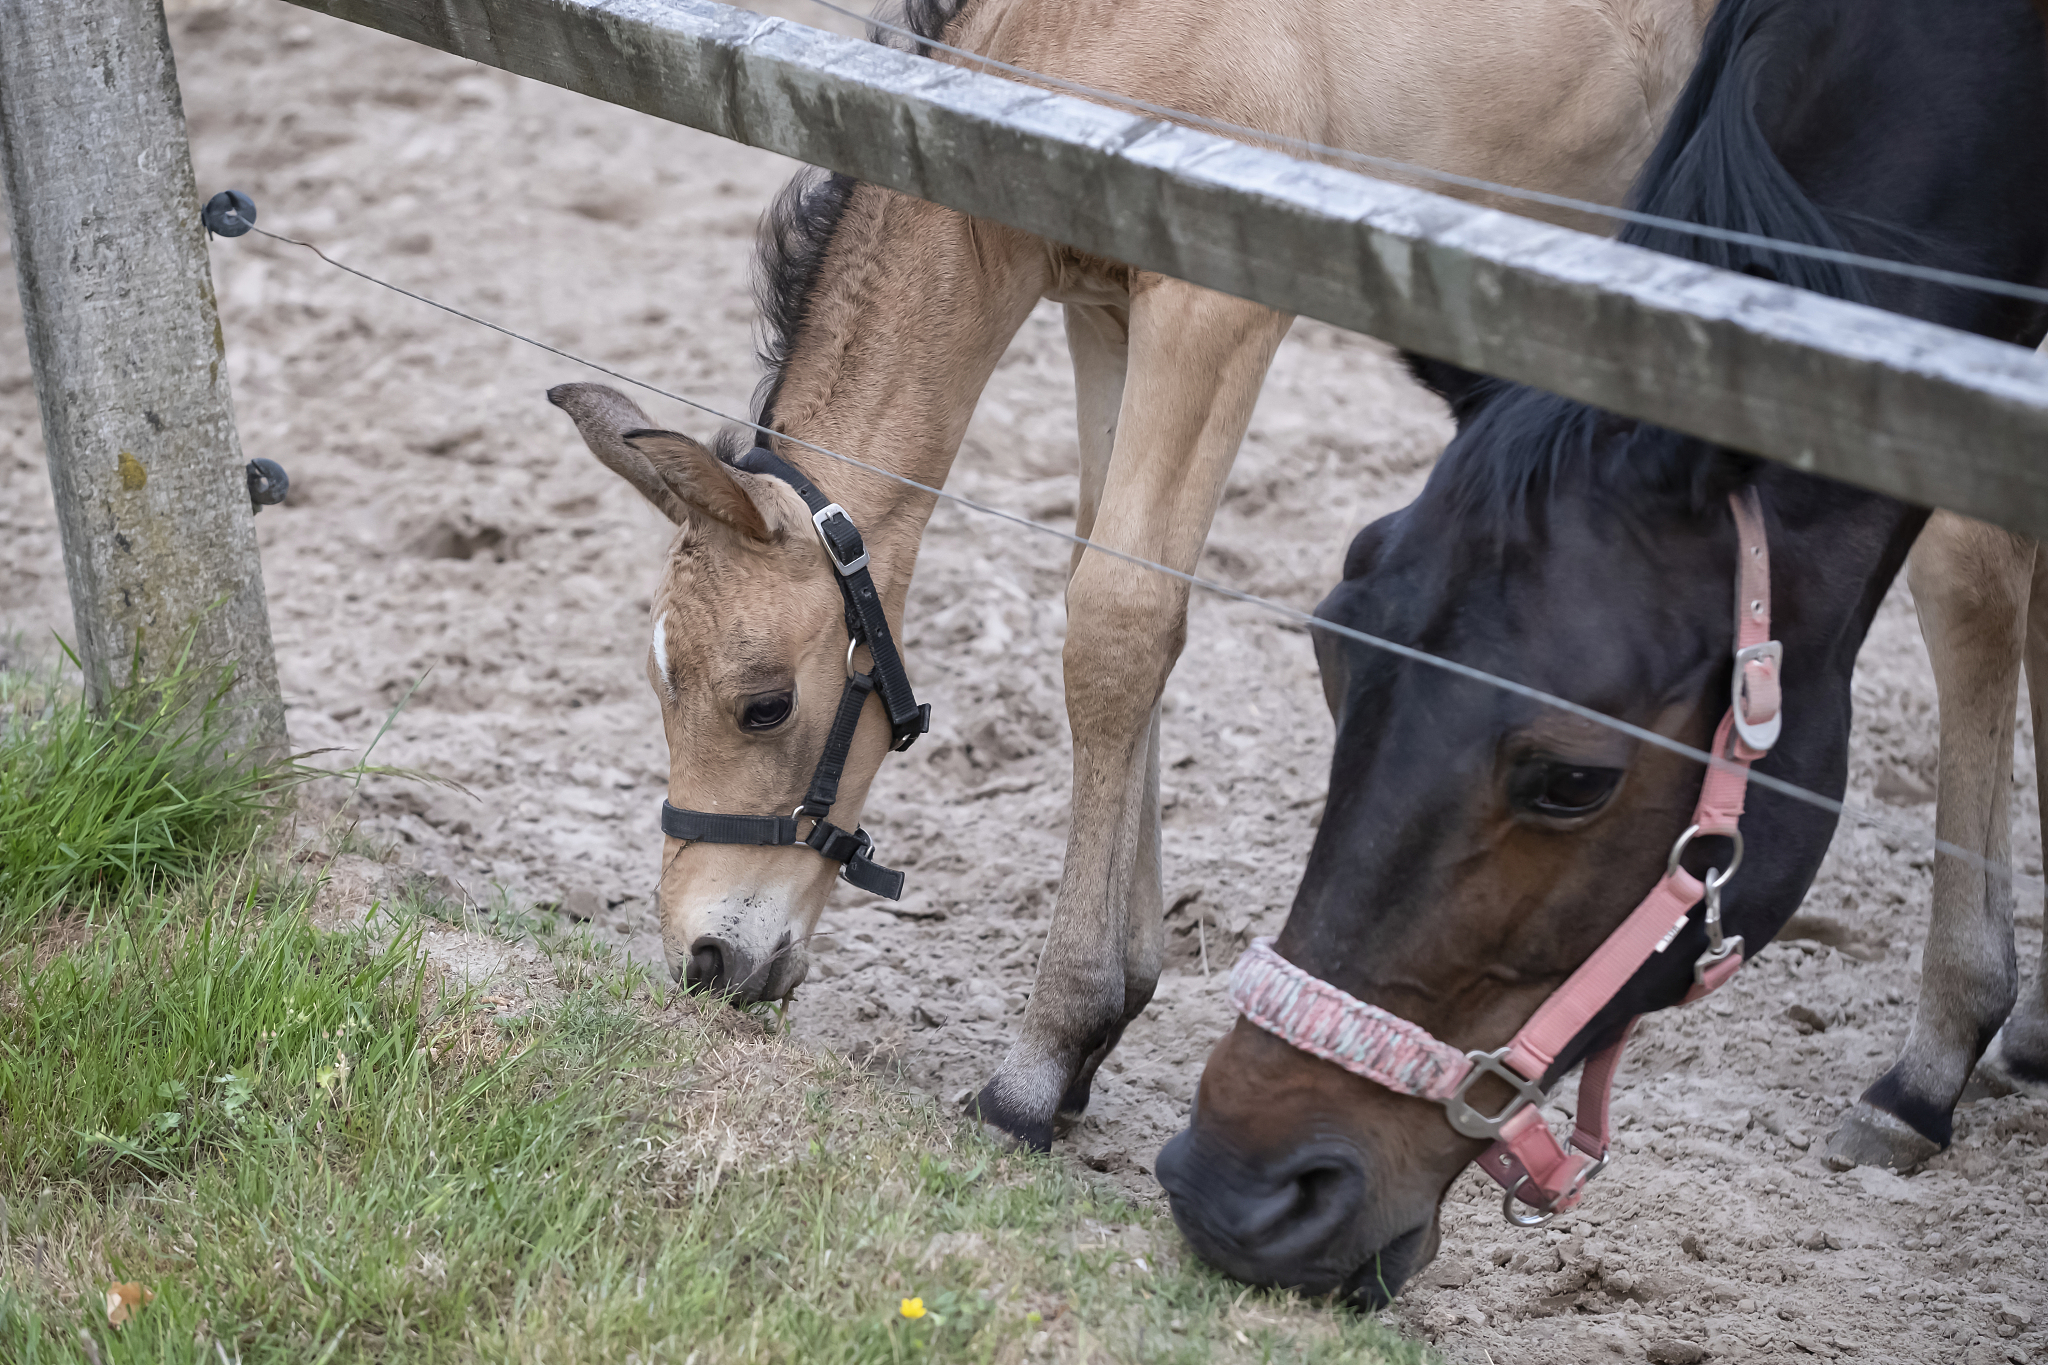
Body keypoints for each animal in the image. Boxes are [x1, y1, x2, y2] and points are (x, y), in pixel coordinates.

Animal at [547, 0, 1724, 1150]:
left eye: (764, 706)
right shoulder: (1104, 308)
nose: (704, 960)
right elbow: (1111, 578)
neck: (1065, 40)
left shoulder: (1212, 309)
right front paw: (1105, 1019)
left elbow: (1118, 624)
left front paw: (1038, 1059)